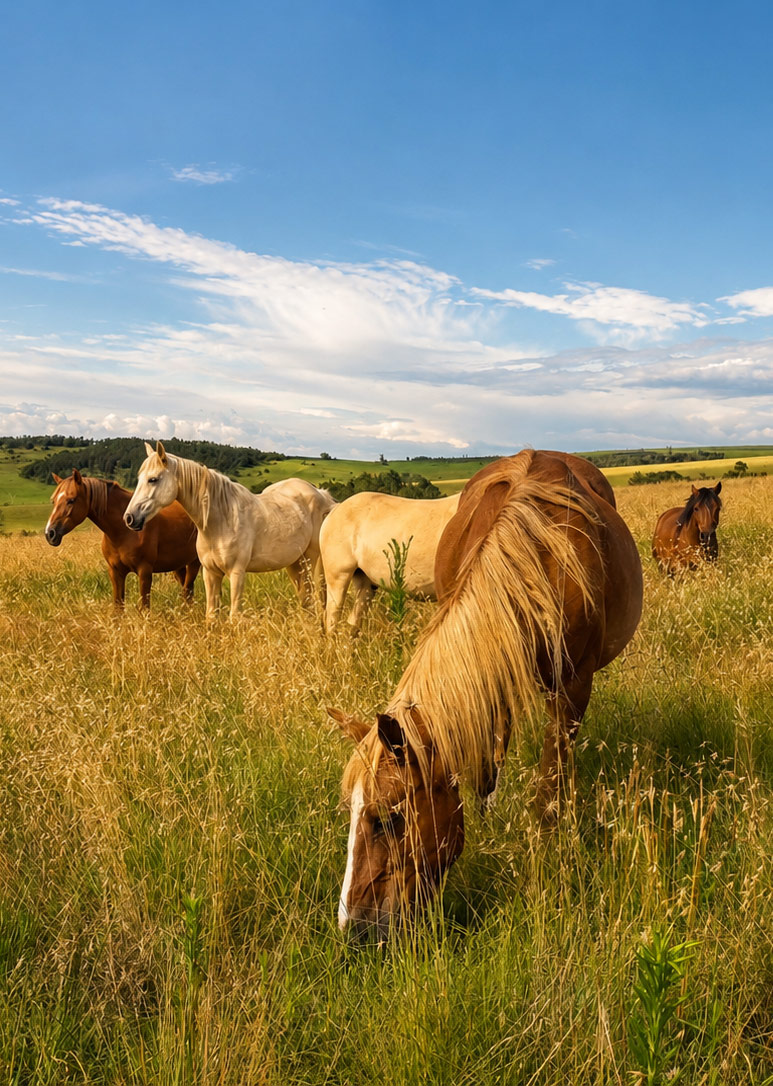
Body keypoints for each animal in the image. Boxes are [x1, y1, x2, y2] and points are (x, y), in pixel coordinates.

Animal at [45, 469, 200, 609]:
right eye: (53, 501)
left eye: (71, 500)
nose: (49, 533)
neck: (124, 531)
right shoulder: (116, 572)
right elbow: (118, 608)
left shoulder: (145, 572)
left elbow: (144, 607)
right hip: (178, 565)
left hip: (194, 562)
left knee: (187, 591)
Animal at [124, 442, 337, 619]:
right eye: (139, 479)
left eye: (153, 479)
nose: (129, 518)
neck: (220, 522)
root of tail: (319, 493)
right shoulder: (210, 573)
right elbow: (211, 615)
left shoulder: (236, 573)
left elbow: (234, 616)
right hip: (295, 563)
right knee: (305, 598)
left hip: (312, 562)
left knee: (318, 597)